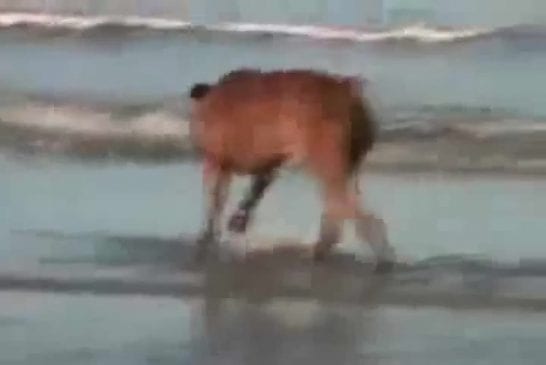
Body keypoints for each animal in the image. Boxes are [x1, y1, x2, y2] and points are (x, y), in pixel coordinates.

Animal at [189, 68, 394, 270]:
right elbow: (246, 196)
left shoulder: (216, 162)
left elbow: (214, 202)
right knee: (339, 212)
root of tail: (348, 94)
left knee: (354, 215)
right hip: (341, 169)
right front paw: (234, 223)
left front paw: (209, 234)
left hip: (327, 166)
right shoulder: (264, 167)